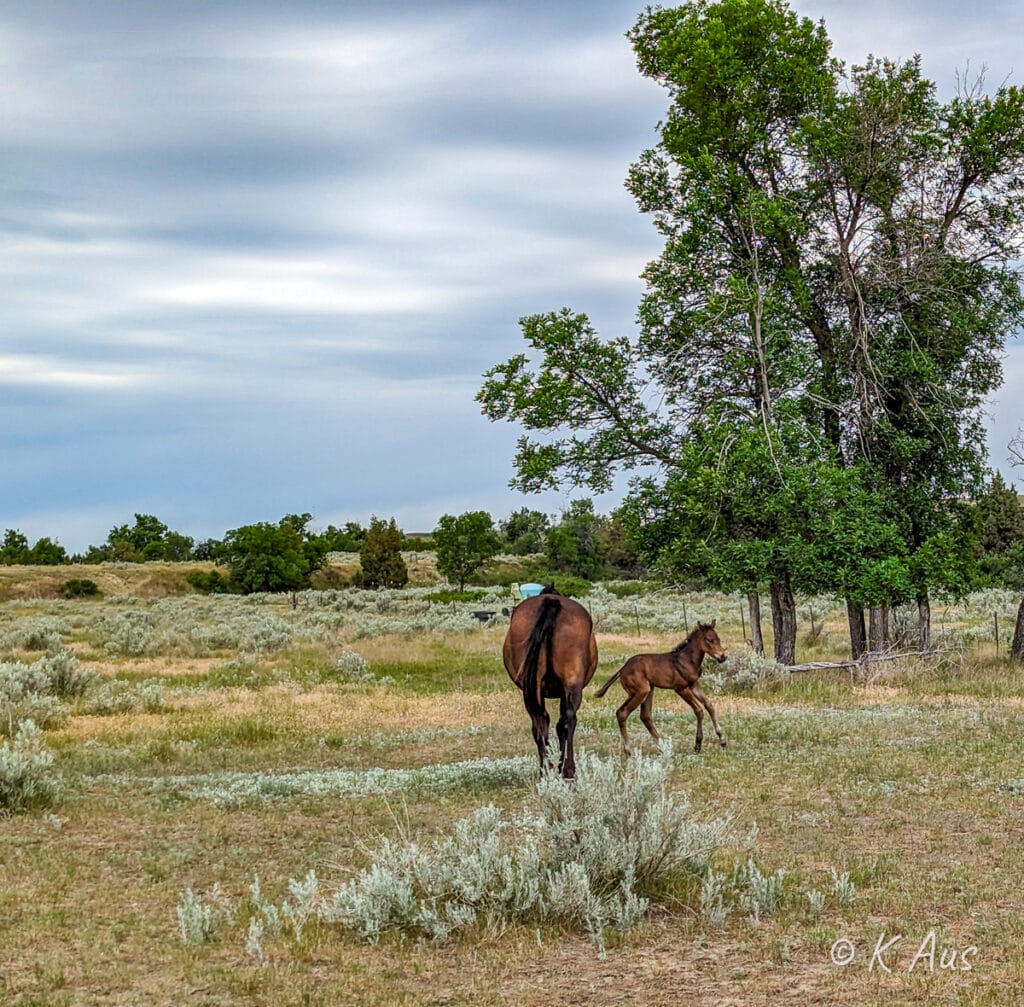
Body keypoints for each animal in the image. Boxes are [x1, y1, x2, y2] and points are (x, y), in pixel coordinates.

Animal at [503, 585, 598, 779]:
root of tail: (551, 603)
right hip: (570, 685)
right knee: (566, 721)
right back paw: (567, 769)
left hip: (532, 690)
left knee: (541, 722)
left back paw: (547, 770)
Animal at [594, 620, 727, 755]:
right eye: (709, 640)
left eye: (718, 639)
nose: (723, 657)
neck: (687, 660)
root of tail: (622, 670)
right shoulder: (681, 688)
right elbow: (699, 710)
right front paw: (697, 745)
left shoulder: (694, 684)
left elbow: (709, 705)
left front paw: (723, 740)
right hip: (641, 691)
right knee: (622, 712)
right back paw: (629, 751)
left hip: (649, 690)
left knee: (645, 715)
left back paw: (662, 747)